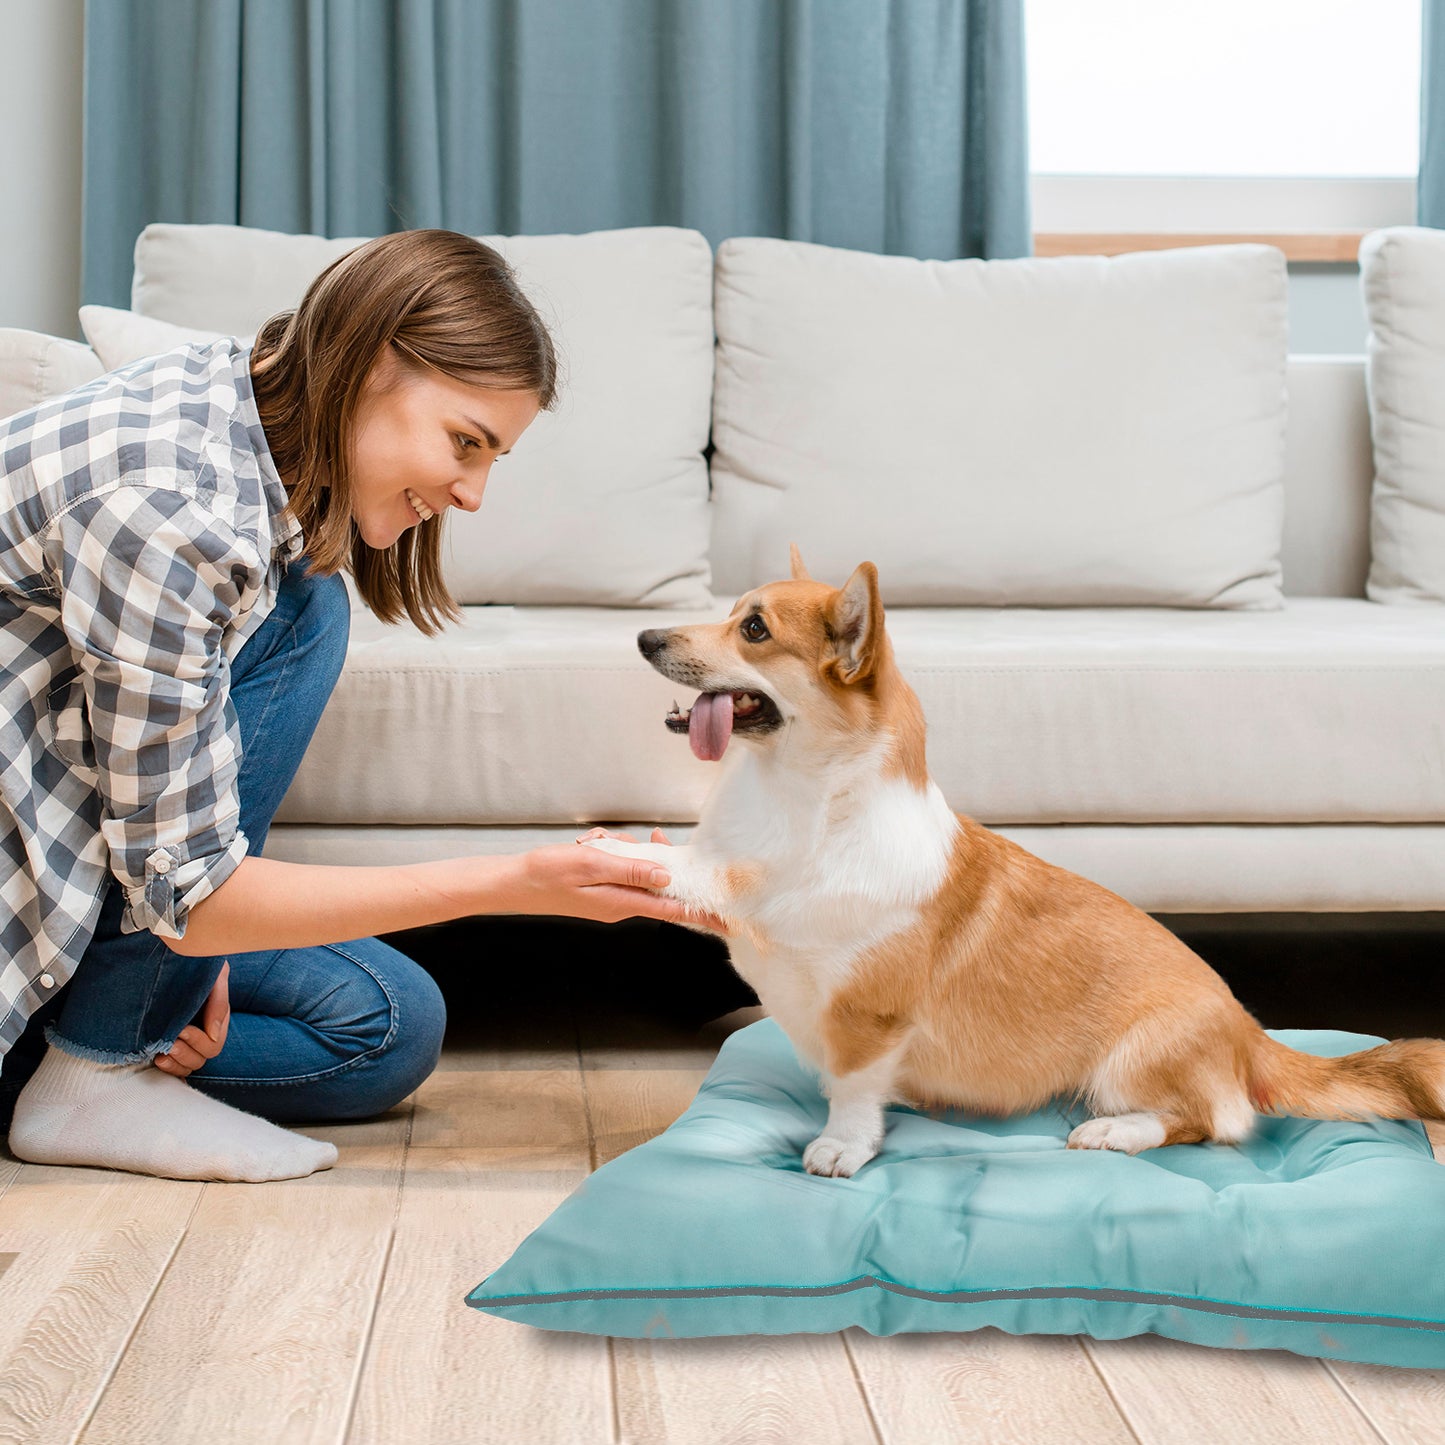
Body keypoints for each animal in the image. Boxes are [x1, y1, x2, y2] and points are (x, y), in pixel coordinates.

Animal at [583, 549, 1445, 1173]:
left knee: (1215, 1119)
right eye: (732, 613)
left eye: (754, 630)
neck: (805, 795)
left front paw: (841, 1147)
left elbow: (852, 1089)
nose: (644, 640)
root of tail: (1249, 1030)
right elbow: (702, 872)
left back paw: (1113, 1134)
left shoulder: (865, 1014)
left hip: (1130, 1060)